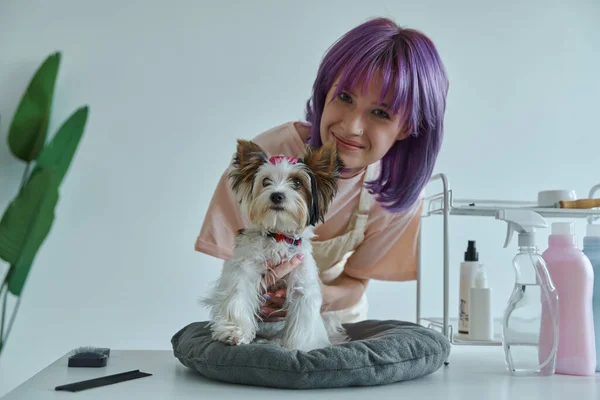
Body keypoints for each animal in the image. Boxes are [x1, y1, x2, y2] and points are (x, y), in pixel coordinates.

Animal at [203, 139, 346, 352]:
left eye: (297, 183)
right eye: (265, 182)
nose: (277, 195)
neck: (278, 235)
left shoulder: (302, 282)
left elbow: (304, 318)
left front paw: (302, 347)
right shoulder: (243, 268)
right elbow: (238, 295)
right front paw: (235, 331)